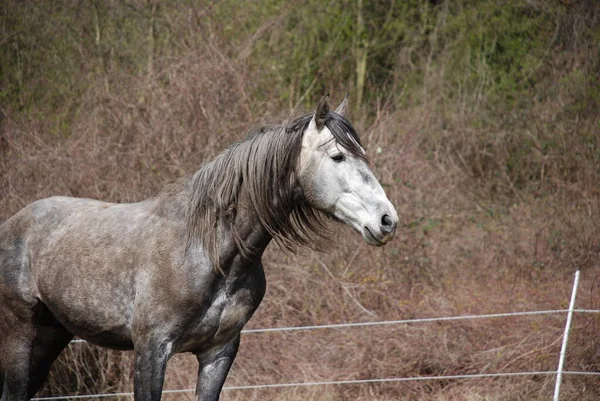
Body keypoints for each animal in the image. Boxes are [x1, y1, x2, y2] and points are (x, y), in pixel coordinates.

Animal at [0, 95, 398, 398]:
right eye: (338, 156)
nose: (387, 220)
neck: (209, 252)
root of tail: (13, 225)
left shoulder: (218, 353)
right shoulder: (151, 351)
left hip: (51, 335)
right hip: (20, 334)